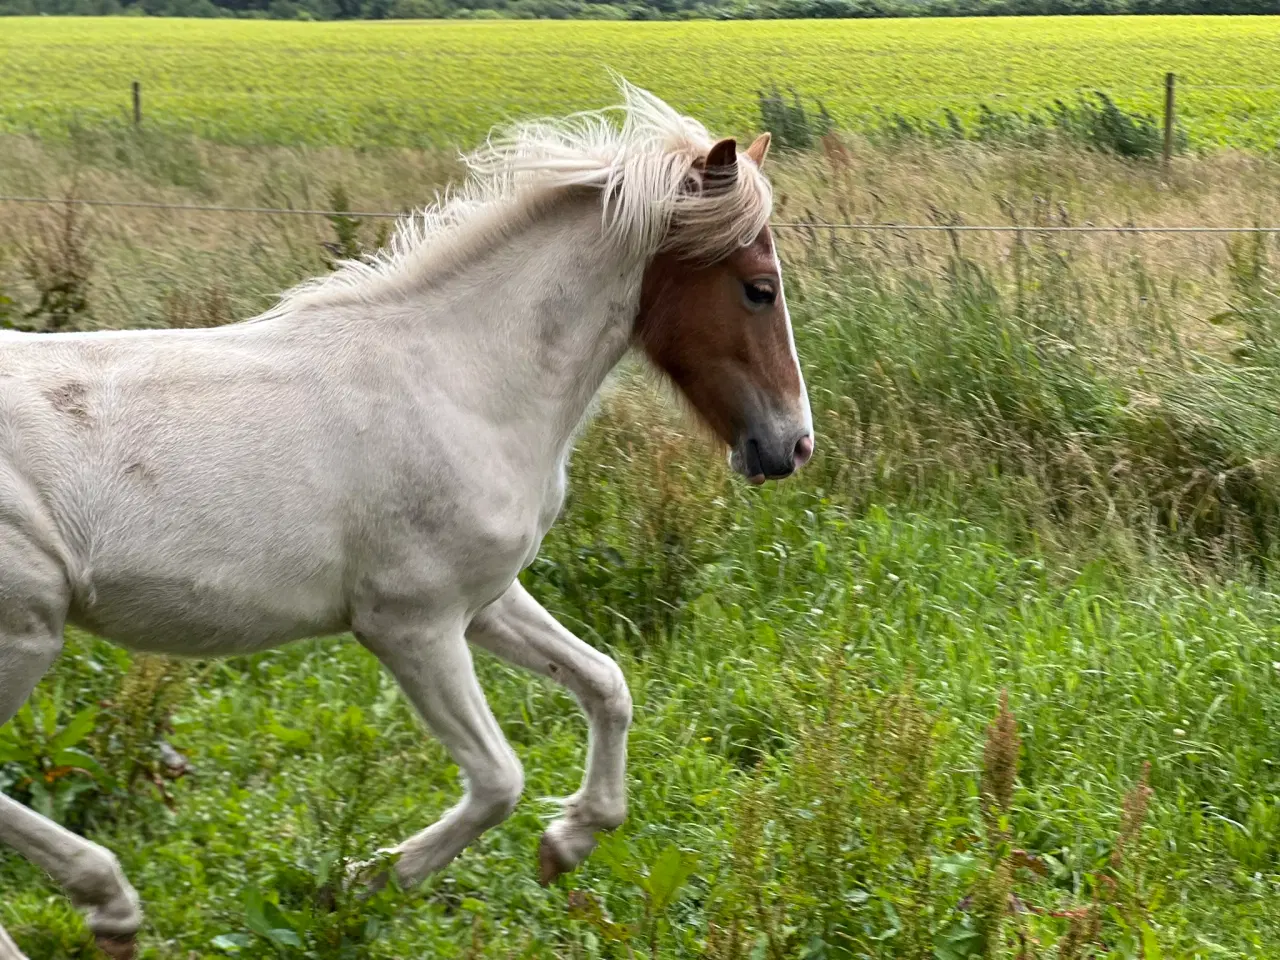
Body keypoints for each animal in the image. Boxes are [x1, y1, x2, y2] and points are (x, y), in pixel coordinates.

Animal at [0, 84, 814, 960]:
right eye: (759, 287)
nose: (793, 445)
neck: (462, 380)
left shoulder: (484, 602)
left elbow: (607, 683)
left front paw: (567, 842)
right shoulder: (408, 624)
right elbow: (498, 779)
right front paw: (361, 882)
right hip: (25, 637)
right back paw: (109, 903)